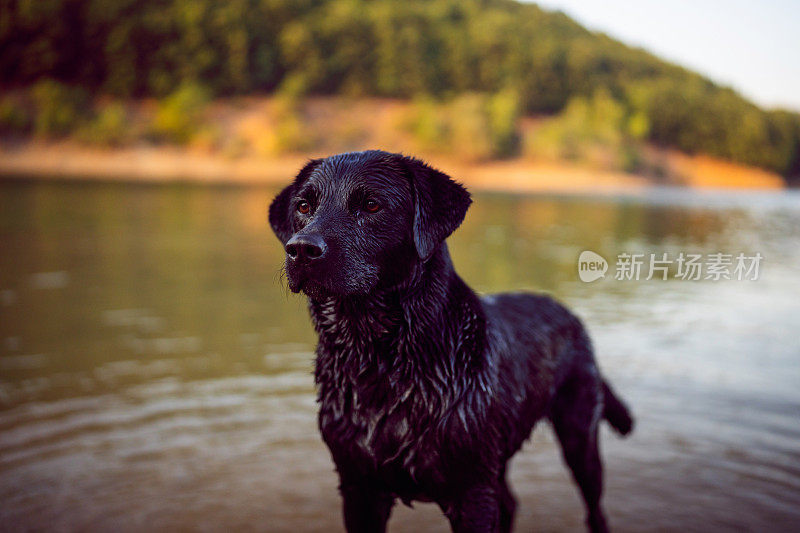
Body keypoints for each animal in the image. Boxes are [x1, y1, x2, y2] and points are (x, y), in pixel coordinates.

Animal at [268, 151, 632, 532]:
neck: (378, 360)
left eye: (371, 205)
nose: (301, 249)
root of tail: (569, 314)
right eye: (304, 206)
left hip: (578, 437)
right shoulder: (358, 487)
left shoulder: (470, 491)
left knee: (594, 508)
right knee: (511, 503)